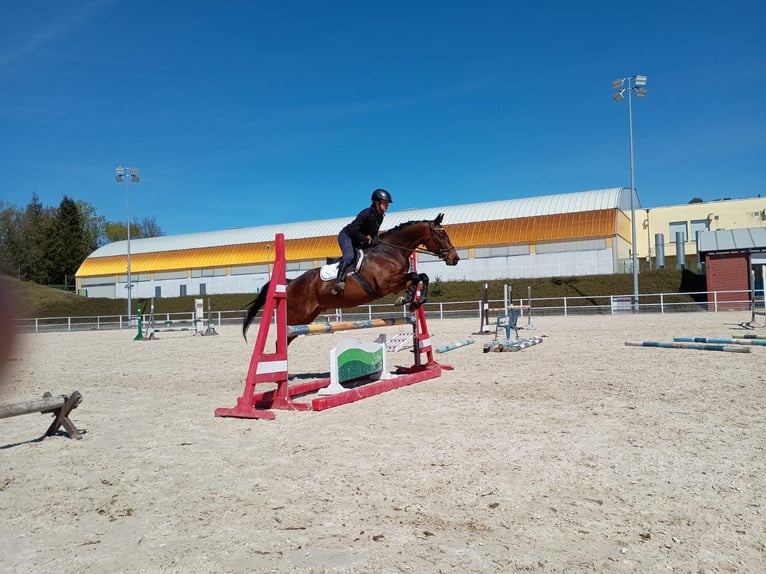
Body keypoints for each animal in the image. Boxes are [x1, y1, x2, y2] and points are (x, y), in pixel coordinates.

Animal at [242, 213, 460, 343]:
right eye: (442, 235)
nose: (455, 258)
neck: (390, 251)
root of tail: (290, 282)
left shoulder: (397, 282)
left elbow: (420, 277)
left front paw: (410, 300)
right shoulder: (386, 284)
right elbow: (419, 275)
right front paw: (411, 300)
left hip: (309, 315)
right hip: (297, 314)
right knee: (282, 336)